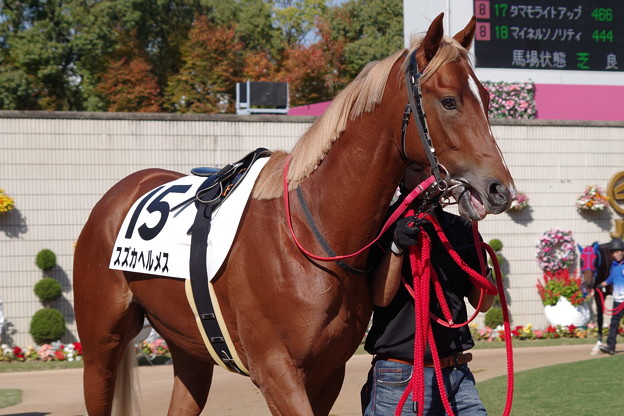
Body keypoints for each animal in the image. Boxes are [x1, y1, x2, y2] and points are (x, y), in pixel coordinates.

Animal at [73, 13, 516, 416]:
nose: (500, 190)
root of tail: (117, 194)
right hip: (99, 348)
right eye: (448, 100)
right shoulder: (276, 372)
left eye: (487, 99)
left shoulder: (328, 372)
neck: (313, 234)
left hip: (190, 348)